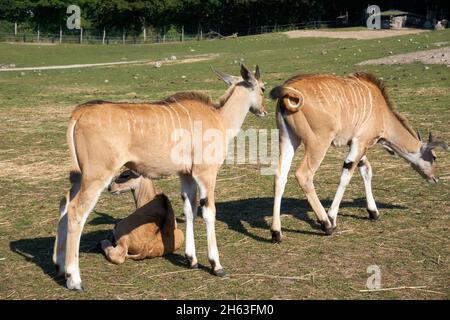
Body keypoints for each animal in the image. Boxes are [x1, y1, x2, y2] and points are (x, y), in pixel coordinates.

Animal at [51, 63, 268, 292]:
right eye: (263, 88)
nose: (264, 110)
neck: (219, 117)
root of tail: (80, 113)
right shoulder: (206, 173)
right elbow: (208, 213)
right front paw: (216, 265)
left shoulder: (186, 175)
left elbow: (190, 210)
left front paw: (191, 259)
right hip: (96, 176)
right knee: (76, 211)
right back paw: (74, 279)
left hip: (80, 176)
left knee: (64, 203)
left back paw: (60, 266)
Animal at [268, 73, 448, 242]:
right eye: (434, 157)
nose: (435, 178)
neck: (382, 111)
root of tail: (289, 91)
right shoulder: (360, 142)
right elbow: (346, 176)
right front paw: (332, 217)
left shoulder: (357, 145)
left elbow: (366, 170)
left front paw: (373, 212)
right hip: (318, 144)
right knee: (303, 175)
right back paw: (326, 224)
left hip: (288, 139)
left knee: (280, 176)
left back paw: (276, 232)